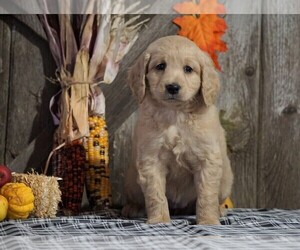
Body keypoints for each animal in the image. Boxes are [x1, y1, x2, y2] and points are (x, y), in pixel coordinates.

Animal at [122, 35, 234, 225]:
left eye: (188, 69)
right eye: (160, 66)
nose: (172, 87)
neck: (175, 114)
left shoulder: (207, 158)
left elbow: (207, 195)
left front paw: (208, 221)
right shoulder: (151, 158)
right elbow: (155, 194)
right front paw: (159, 220)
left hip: (226, 179)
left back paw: (219, 210)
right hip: (131, 180)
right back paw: (133, 208)